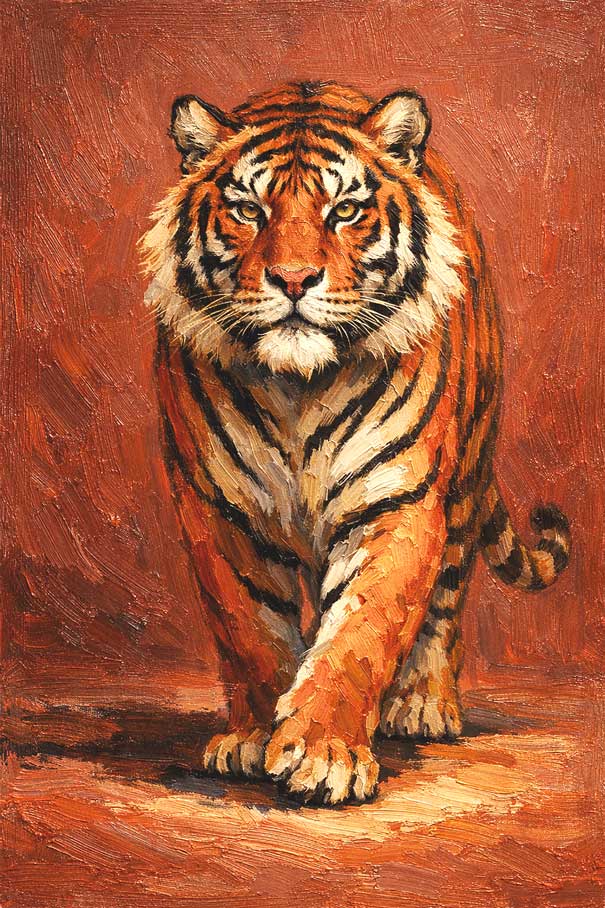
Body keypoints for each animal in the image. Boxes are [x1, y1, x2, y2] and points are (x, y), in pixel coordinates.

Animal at [140, 81, 571, 806]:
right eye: (248, 210)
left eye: (344, 210)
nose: (292, 280)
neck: (297, 387)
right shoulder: (219, 511)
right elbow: (249, 630)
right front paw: (254, 737)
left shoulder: (396, 502)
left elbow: (361, 633)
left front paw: (323, 753)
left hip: (463, 484)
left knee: (446, 598)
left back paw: (423, 703)